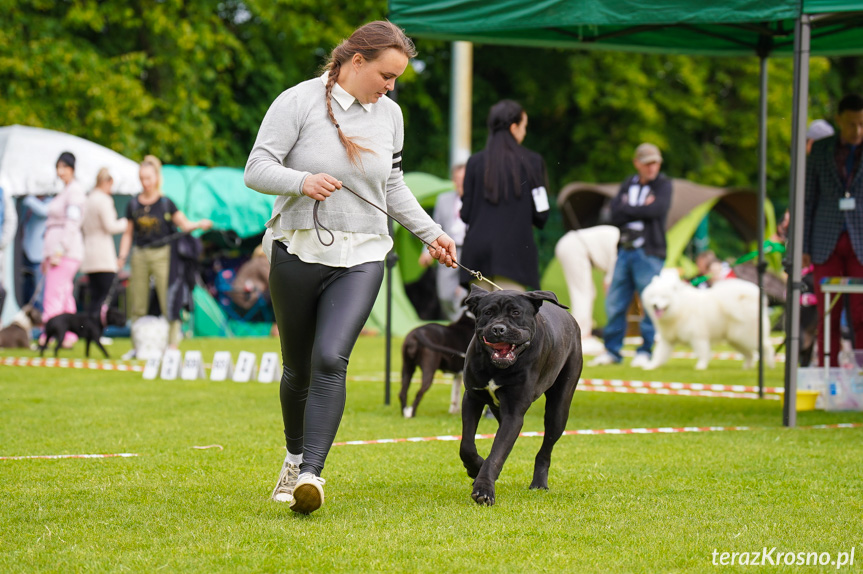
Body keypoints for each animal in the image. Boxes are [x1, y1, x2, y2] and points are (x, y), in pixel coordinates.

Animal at [460, 288, 580, 508]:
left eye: (516, 313)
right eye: (488, 312)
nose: (498, 329)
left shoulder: (514, 413)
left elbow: (497, 453)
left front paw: (484, 489)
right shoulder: (472, 398)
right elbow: (467, 445)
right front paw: (476, 467)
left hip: (559, 410)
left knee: (546, 448)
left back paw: (539, 482)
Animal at [640, 272, 776, 372]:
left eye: (664, 297)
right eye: (653, 296)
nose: (655, 305)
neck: (679, 309)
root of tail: (751, 298)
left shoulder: (698, 336)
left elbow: (703, 353)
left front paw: (701, 366)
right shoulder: (667, 339)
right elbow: (659, 354)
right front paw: (651, 366)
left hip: (747, 337)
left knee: (767, 347)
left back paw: (770, 366)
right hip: (736, 339)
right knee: (750, 354)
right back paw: (746, 368)